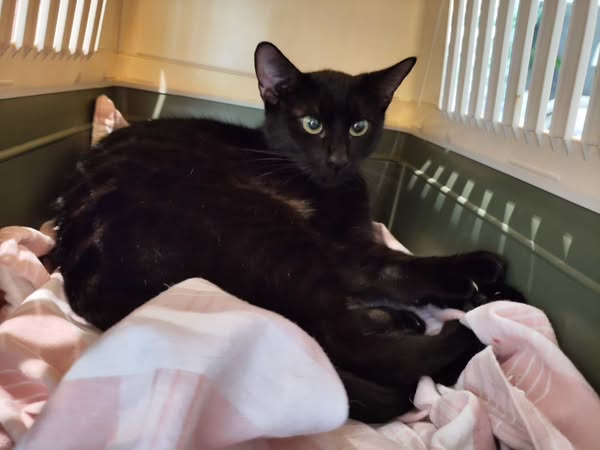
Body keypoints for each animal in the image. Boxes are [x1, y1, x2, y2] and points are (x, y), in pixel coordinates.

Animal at [50, 42, 522, 423]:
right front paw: (475, 270)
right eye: (311, 123)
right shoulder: (342, 248)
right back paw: (473, 327)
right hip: (272, 230)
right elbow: (393, 265)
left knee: (323, 322)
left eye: (359, 127)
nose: (337, 159)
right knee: (348, 342)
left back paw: (403, 319)